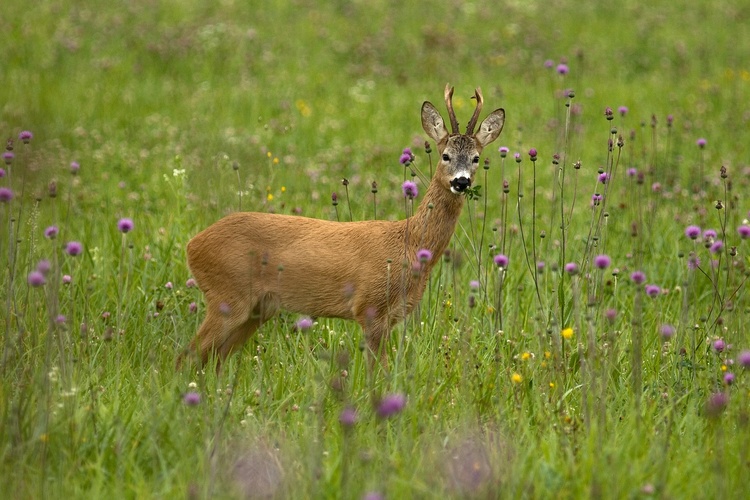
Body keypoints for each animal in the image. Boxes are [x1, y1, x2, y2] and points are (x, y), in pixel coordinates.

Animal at [181, 85, 506, 368]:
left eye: (476, 158)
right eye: (446, 155)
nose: (461, 182)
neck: (409, 242)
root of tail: (192, 245)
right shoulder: (369, 308)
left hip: (257, 309)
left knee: (211, 360)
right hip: (228, 296)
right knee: (186, 356)